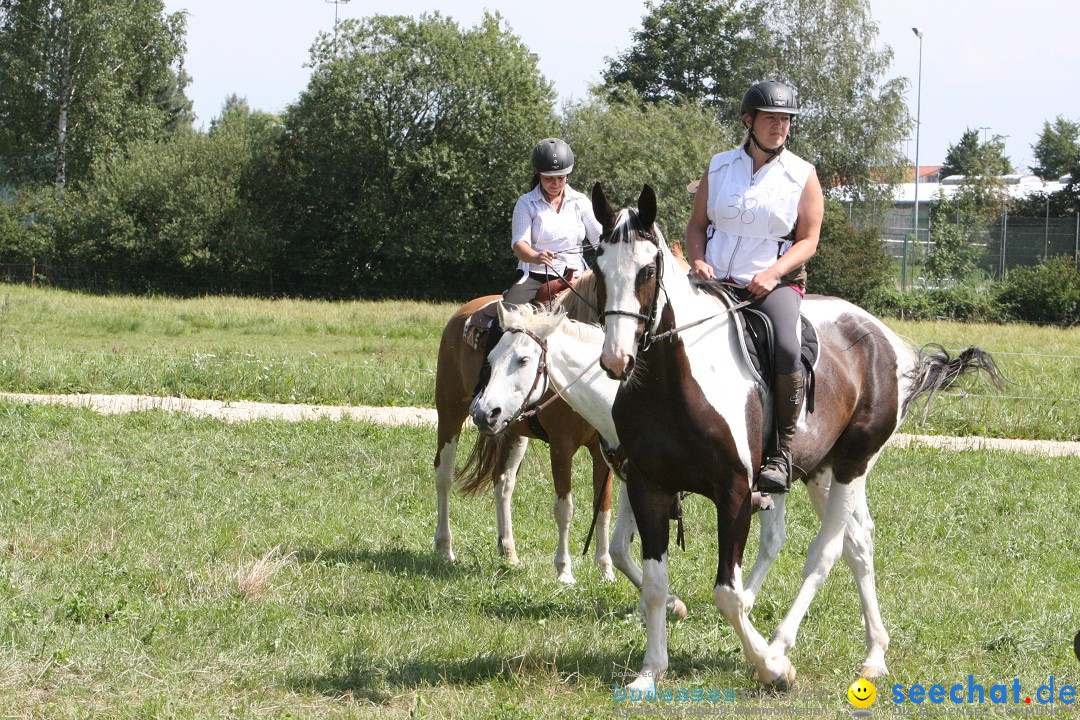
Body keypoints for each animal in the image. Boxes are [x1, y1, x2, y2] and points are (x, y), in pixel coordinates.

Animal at [432, 278, 617, 587]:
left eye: (523, 360)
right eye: (491, 358)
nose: (484, 411)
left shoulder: (603, 449)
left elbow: (602, 508)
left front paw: (606, 570)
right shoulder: (561, 445)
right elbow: (565, 508)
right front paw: (564, 571)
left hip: (510, 430)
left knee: (503, 483)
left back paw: (508, 552)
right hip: (449, 414)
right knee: (444, 477)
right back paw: (444, 548)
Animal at [591, 184, 1002, 690]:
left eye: (647, 270)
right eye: (597, 265)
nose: (617, 360)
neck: (674, 382)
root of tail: (886, 341)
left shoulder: (734, 492)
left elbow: (727, 593)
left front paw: (772, 667)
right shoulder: (650, 487)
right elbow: (654, 585)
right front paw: (650, 673)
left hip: (852, 465)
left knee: (826, 553)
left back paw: (782, 645)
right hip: (821, 473)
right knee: (858, 546)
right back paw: (874, 654)